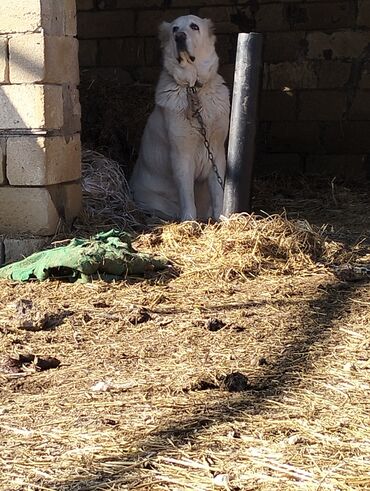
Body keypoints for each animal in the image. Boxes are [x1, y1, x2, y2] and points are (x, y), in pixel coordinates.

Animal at [129, 13, 228, 221]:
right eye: (174, 28)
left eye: (194, 26)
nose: (179, 36)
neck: (193, 88)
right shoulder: (181, 156)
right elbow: (187, 194)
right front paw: (190, 221)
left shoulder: (216, 151)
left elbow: (218, 192)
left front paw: (222, 218)